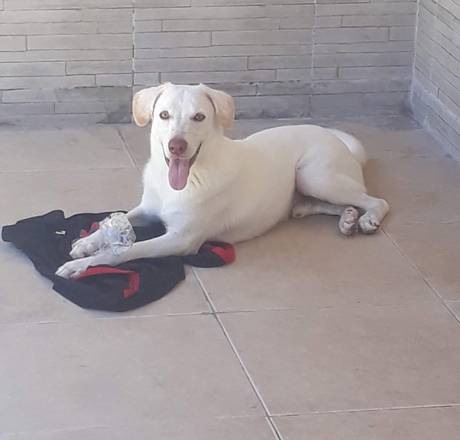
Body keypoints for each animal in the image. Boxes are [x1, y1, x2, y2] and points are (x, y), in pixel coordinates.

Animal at [56, 83, 389, 279]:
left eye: (199, 117)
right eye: (163, 115)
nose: (177, 146)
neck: (182, 181)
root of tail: (335, 138)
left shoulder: (182, 239)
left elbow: (127, 251)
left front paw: (82, 265)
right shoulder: (147, 209)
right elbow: (117, 219)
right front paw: (87, 242)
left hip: (315, 175)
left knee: (375, 200)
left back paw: (367, 219)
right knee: (322, 206)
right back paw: (346, 219)